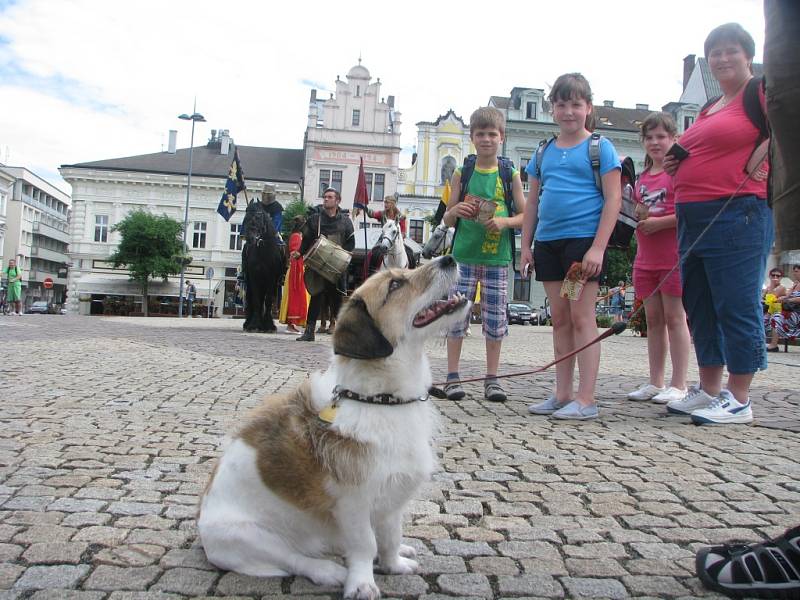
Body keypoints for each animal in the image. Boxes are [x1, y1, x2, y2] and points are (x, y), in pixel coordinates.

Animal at [198, 256, 468, 600]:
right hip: (247, 536)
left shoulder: (393, 495)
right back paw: (329, 571)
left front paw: (393, 564)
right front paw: (362, 582)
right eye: (395, 284)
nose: (449, 258)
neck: (380, 400)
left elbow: (390, 536)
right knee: (296, 559)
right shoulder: (354, 503)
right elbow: (365, 545)